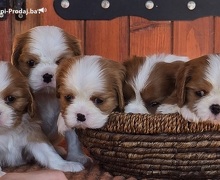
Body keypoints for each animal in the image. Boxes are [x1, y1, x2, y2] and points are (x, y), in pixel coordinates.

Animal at [10, 25, 90, 166]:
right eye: (31, 62)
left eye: (60, 62)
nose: (47, 75)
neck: (48, 96)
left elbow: (73, 136)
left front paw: (77, 157)